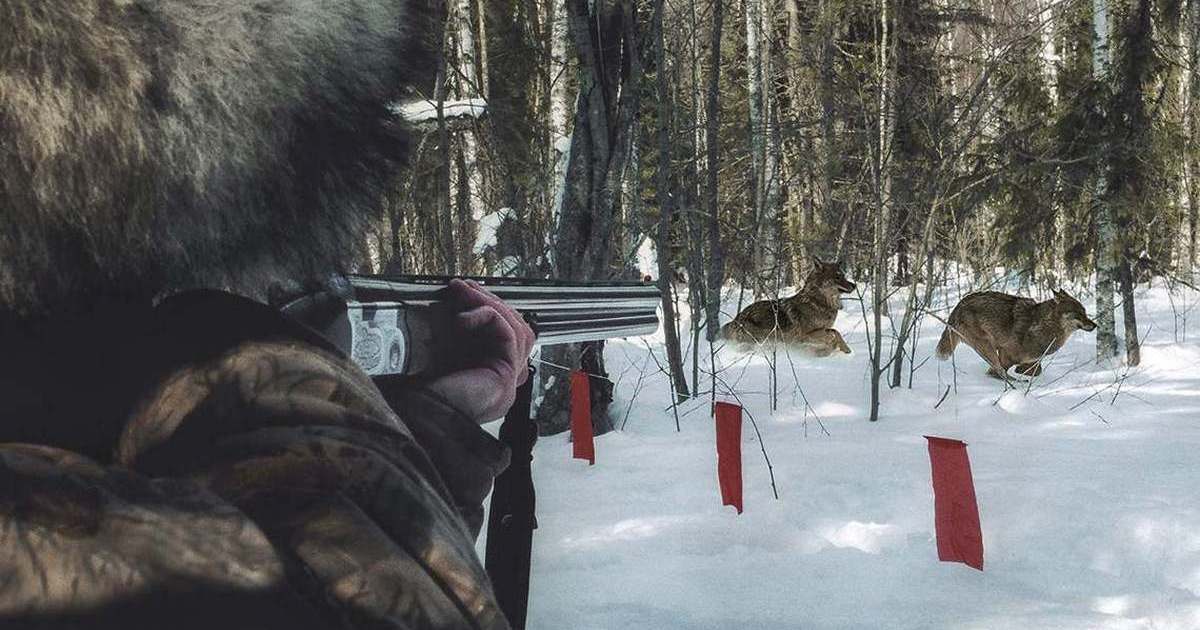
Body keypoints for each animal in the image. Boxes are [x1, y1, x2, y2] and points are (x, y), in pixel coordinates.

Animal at [715, 255, 859, 352]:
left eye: (843, 275)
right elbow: (834, 333)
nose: (854, 285)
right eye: (837, 277)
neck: (818, 302)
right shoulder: (806, 335)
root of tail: (736, 318)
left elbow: (834, 333)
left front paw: (840, 349)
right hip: (754, 342)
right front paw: (840, 349)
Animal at [936, 286, 1099, 376]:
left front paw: (1022, 372)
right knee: (997, 372)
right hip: (988, 347)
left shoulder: (1033, 360)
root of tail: (959, 304)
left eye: (1085, 312)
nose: (1095, 325)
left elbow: (1036, 371)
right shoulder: (1005, 353)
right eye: (1079, 314)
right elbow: (996, 373)